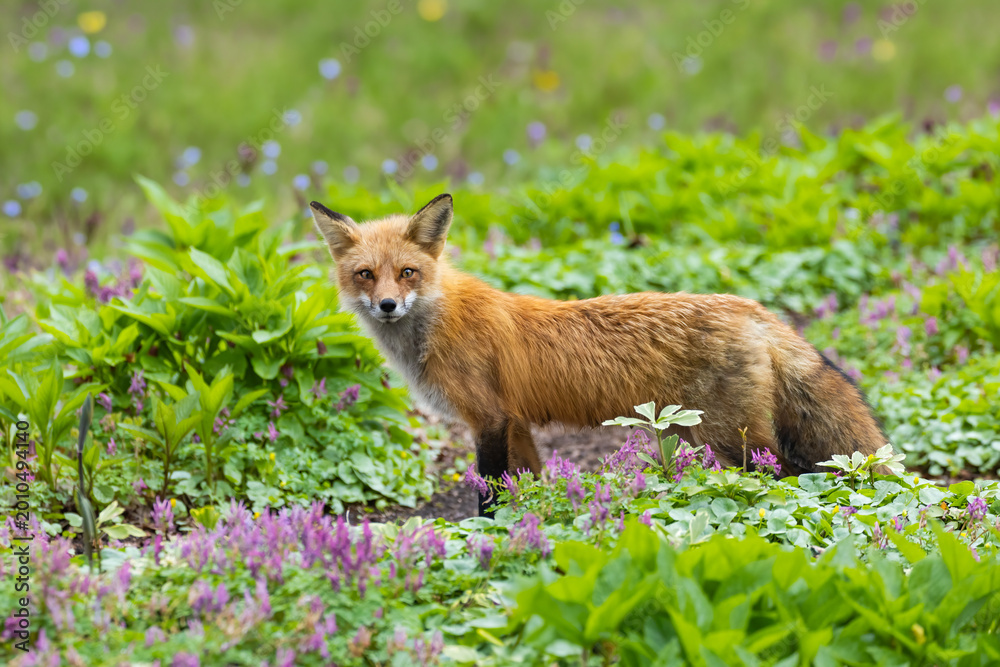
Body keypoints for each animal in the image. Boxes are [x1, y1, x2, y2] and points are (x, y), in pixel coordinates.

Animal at [311, 194, 888, 516]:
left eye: (407, 272)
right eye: (366, 274)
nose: (387, 305)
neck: (438, 321)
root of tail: (751, 305)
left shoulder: (488, 419)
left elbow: (489, 495)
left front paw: (485, 538)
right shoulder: (516, 422)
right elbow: (528, 485)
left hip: (733, 440)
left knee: (787, 479)